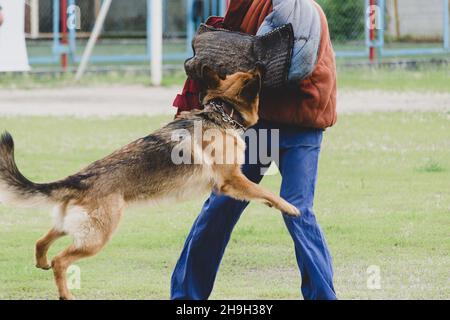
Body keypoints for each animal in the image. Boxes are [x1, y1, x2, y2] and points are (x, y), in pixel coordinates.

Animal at [0, 67, 298, 300]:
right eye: (253, 74)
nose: (263, 64)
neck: (220, 112)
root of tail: (79, 179)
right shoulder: (232, 180)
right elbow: (266, 192)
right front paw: (290, 208)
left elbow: (261, 193)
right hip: (97, 238)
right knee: (60, 261)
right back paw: (65, 293)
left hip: (73, 227)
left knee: (41, 242)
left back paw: (41, 263)